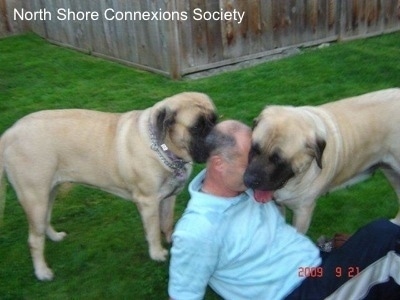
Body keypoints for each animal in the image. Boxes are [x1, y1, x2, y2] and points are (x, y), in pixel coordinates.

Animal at [0, 92, 217, 282]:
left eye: (214, 119)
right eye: (197, 127)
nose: (218, 137)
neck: (165, 148)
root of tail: (9, 133)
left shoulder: (169, 196)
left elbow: (167, 222)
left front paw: (173, 241)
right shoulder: (148, 202)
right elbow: (154, 230)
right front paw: (157, 253)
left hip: (49, 191)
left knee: (44, 220)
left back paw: (55, 236)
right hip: (34, 196)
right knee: (34, 239)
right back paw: (42, 272)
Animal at [244, 88, 400, 233]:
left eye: (278, 160)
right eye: (254, 149)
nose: (249, 180)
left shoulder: (303, 211)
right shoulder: (278, 205)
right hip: (391, 173)